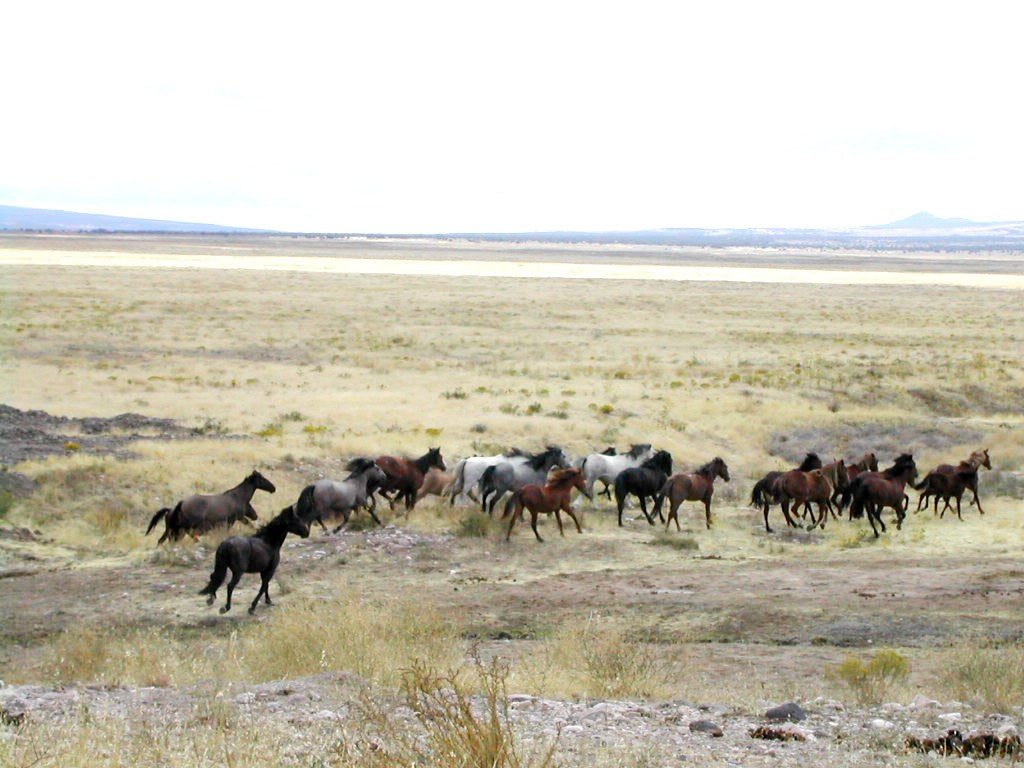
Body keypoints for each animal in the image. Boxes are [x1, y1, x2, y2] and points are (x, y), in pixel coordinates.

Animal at [146, 468, 276, 548]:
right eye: (262, 478)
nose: (273, 488)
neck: (237, 497)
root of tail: (173, 509)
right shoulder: (237, 518)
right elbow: (248, 525)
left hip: (170, 530)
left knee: (161, 540)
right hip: (182, 528)